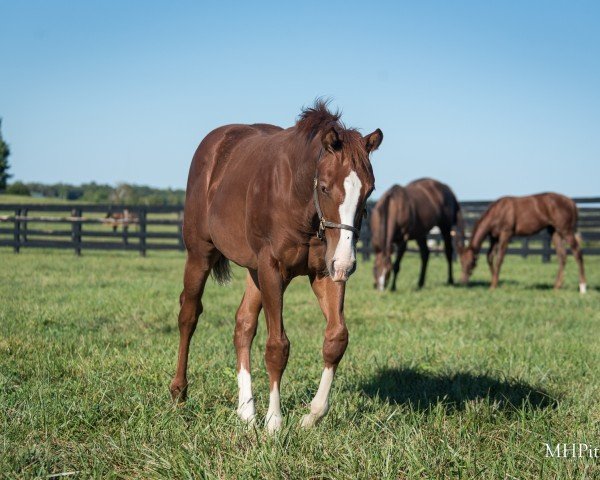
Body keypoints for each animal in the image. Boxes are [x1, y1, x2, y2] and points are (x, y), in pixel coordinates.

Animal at [169, 101, 382, 432]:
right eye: (324, 187)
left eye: (369, 190)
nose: (346, 263)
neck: (297, 198)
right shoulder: (272, 269)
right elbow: (277, 347)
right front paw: (274, 422)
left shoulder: (324, 272)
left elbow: (336, 338)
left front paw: (311, 415)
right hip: (200, 254)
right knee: (188, 315)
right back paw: (179, 392)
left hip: (253, 271)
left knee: (243, 325)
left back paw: (246, 411)